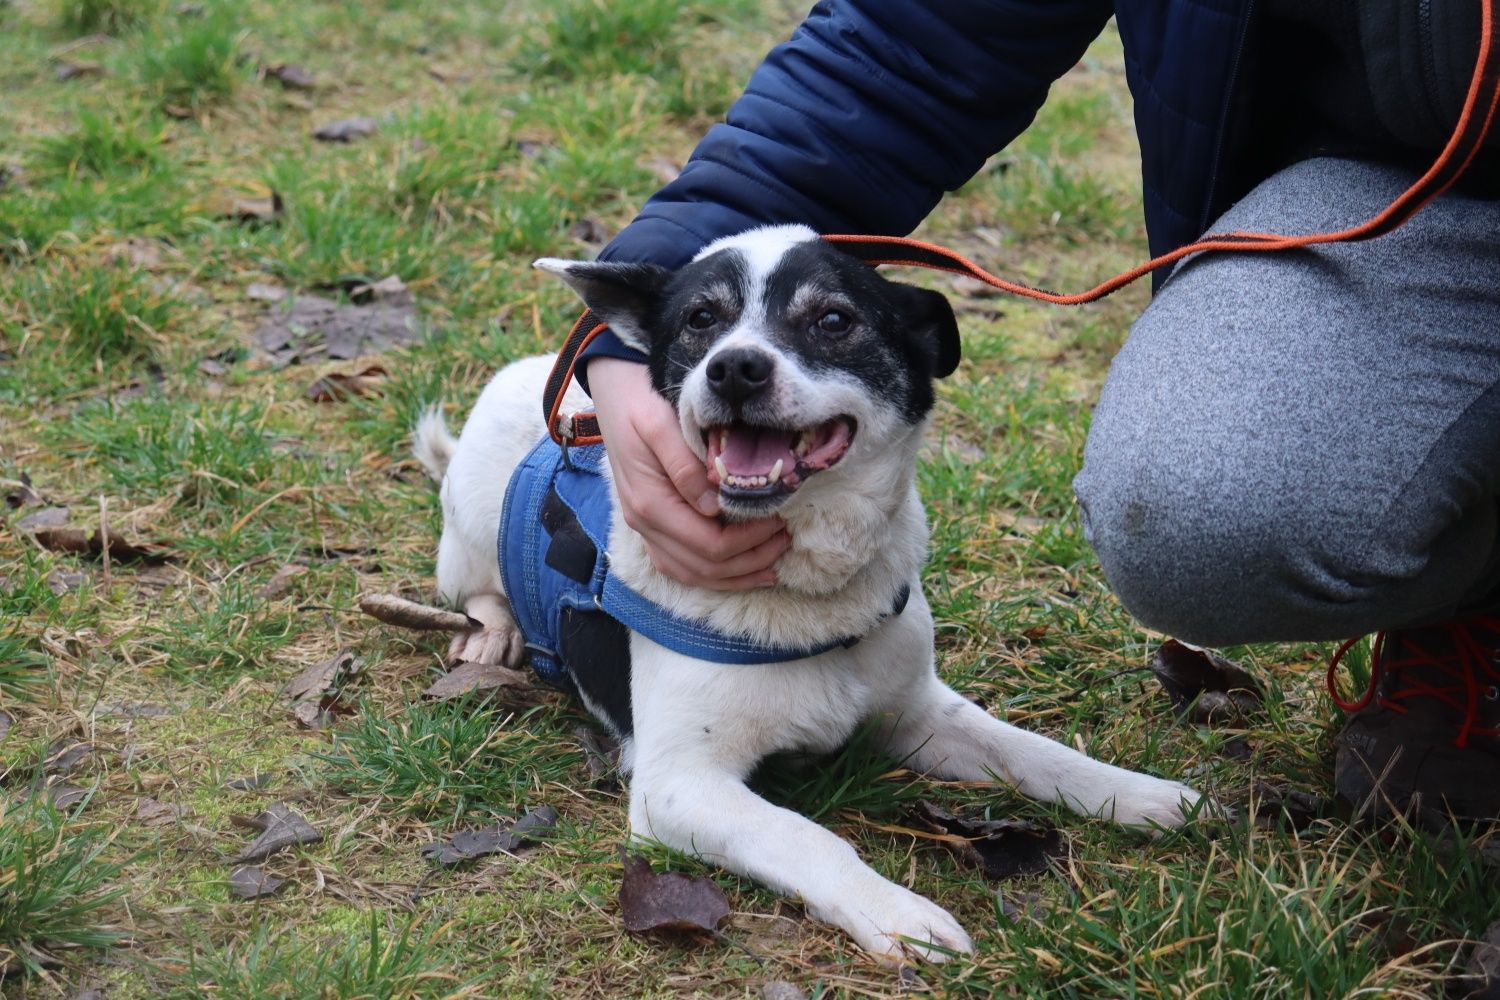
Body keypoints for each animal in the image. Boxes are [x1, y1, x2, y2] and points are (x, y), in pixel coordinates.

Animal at [414, 224, 1206, 959]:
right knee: (474, 589)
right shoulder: (678, 784)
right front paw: (898, 914)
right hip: (470, 527)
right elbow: (808, 837)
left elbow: (1033, 751)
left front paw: (1139, 794)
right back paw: (491, 635)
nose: (734, 368)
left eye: (832, 319)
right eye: (701, 318)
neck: (804, 589)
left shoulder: (918, 713)